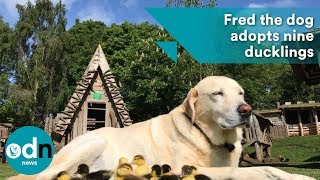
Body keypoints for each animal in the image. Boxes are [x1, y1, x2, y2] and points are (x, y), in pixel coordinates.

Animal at [10, 76, 316, 180]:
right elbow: (255, 171)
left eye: (240, 93)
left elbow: (272, 168)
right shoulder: (191, 167)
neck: (209, 137)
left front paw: (296, 176)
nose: (246, 110)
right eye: (217, 94)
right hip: (90, 145)